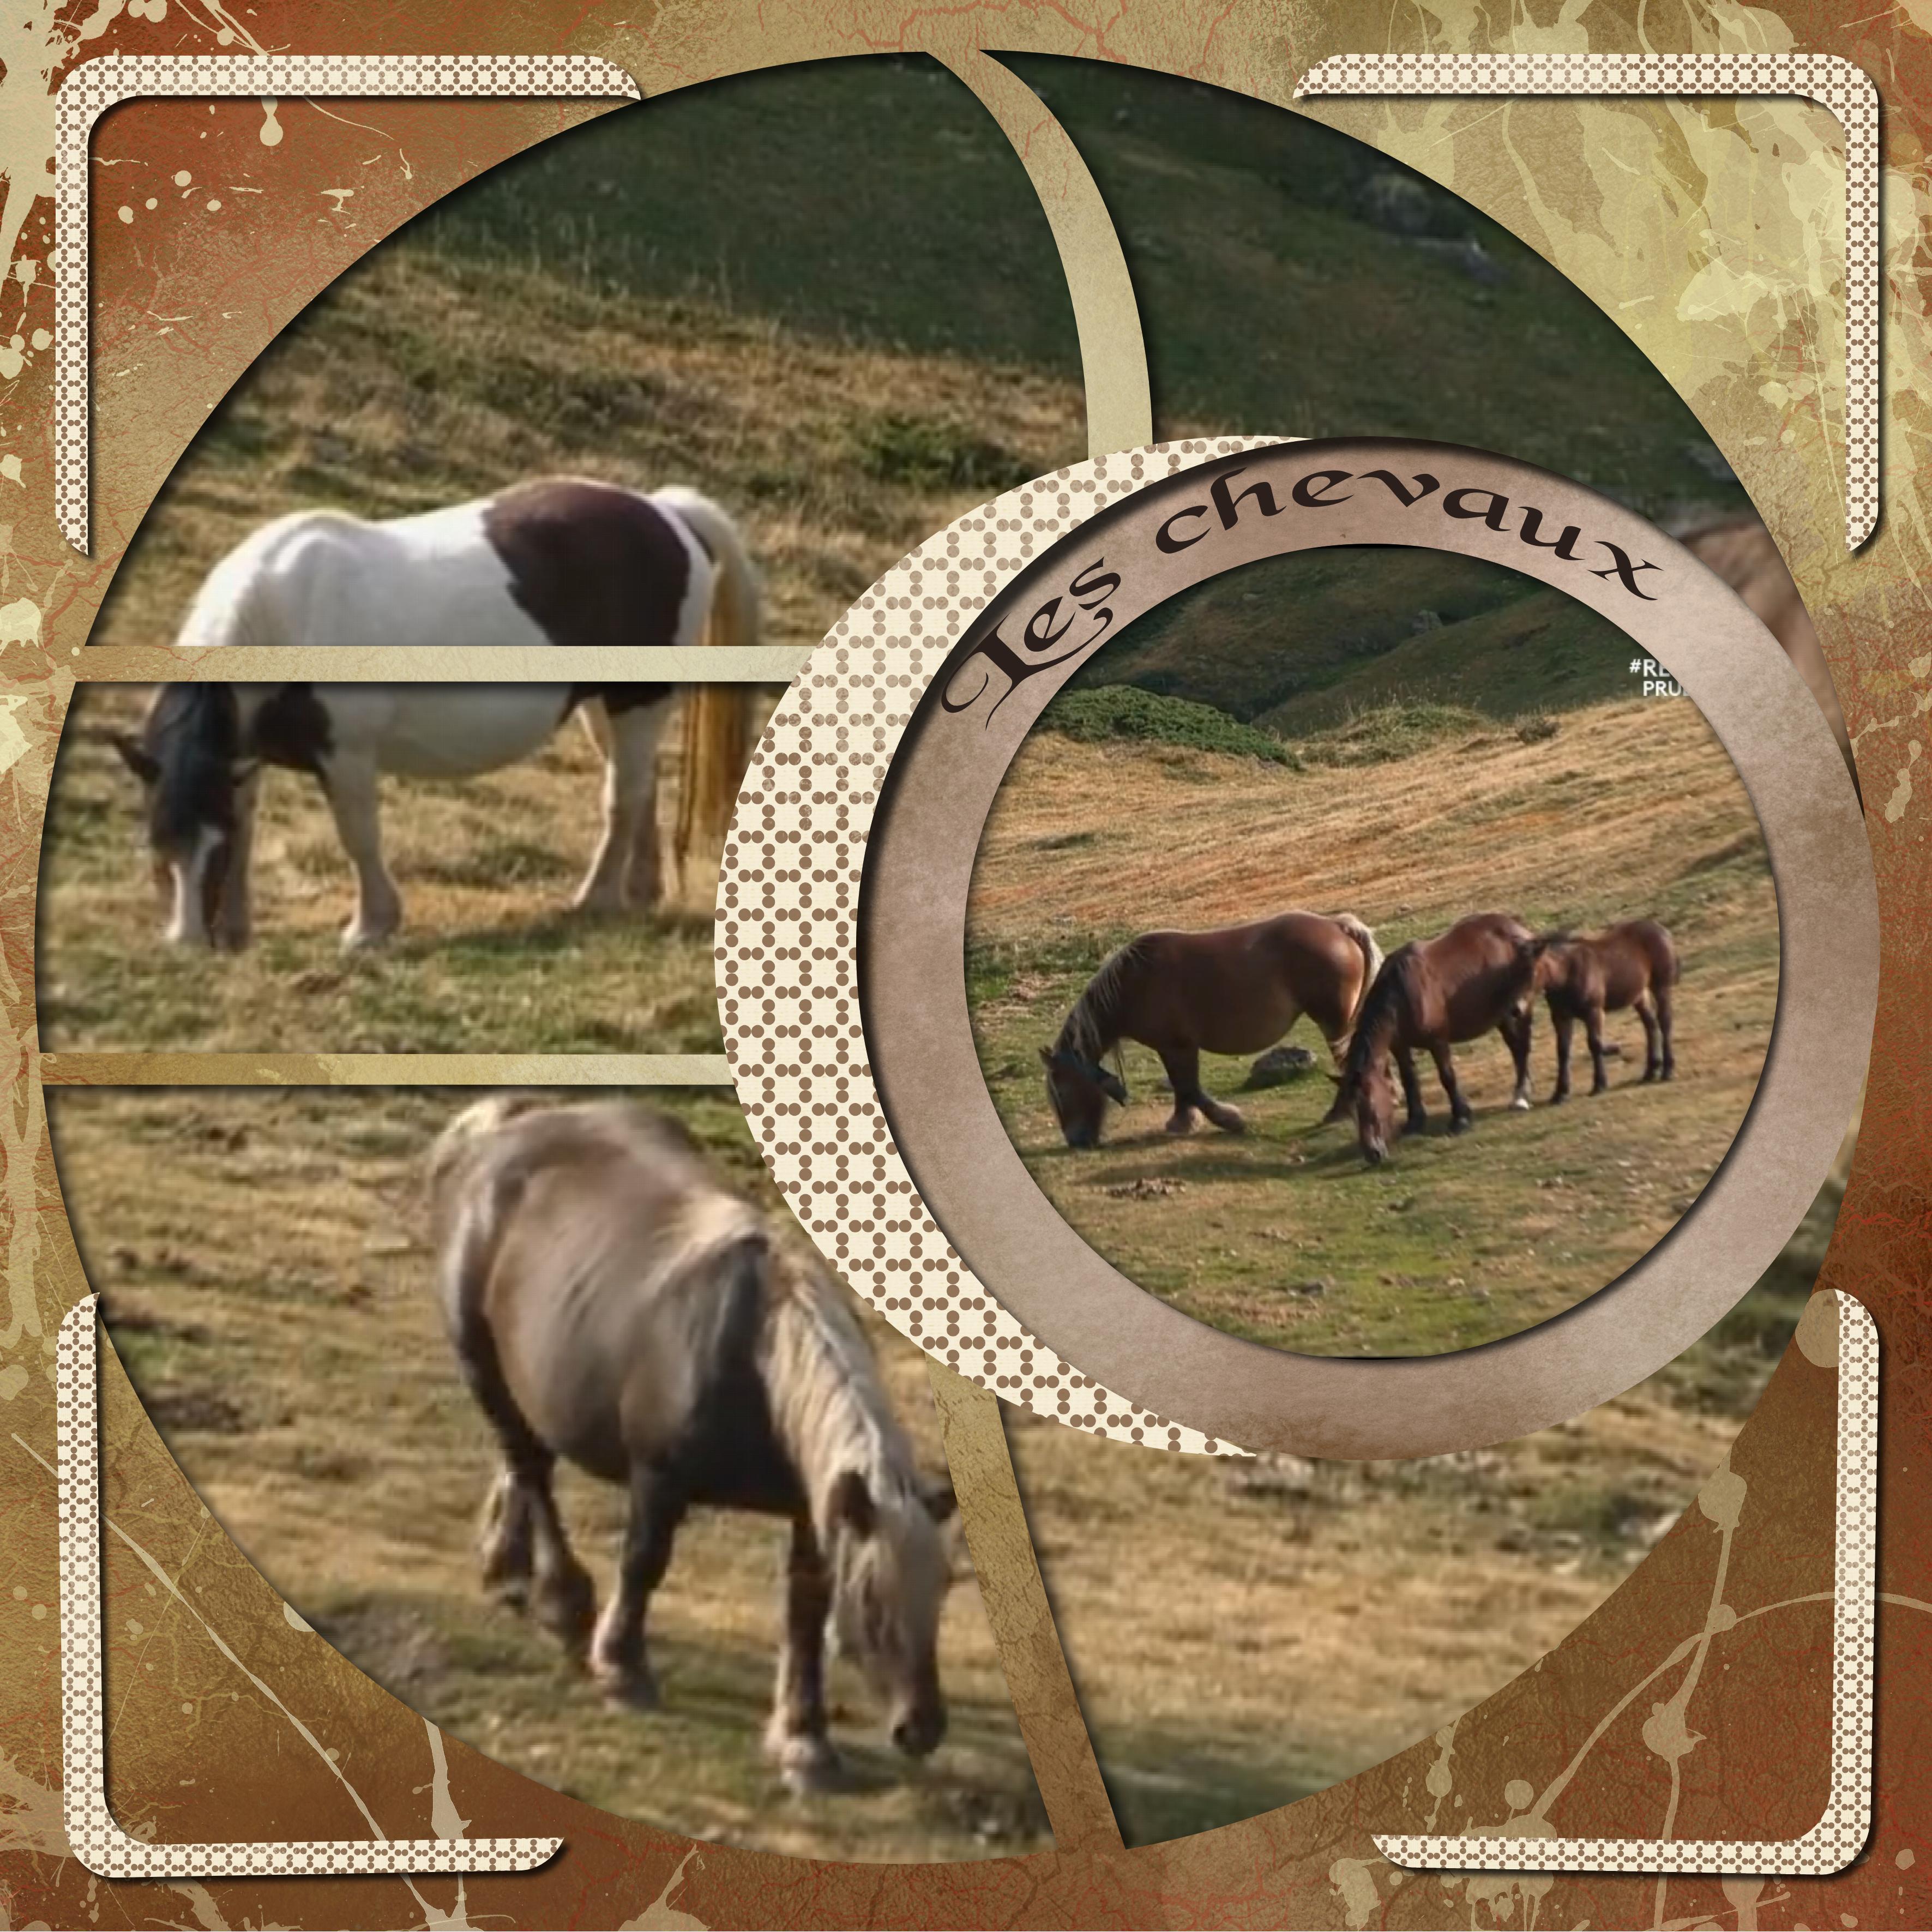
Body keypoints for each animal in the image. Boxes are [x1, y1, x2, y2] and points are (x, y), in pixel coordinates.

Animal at [108, 477, 757, 950]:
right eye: (157, 844)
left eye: (206, 852)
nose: (187, 942)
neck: (285, 613)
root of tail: (665, 512)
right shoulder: (243, 756)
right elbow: (247, 825)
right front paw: (238, 930)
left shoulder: (346, 755)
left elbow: (358, 838)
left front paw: (370, 927)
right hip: (604, 706)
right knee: (641, 784)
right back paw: (641, 891)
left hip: (637, 702)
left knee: (621, 798)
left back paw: (596, 898)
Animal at [427, 1095, 958, 1794]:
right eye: (872, 1596)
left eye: (945, 1587)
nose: (921, 1729)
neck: (755, 1357)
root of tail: (505, 1127)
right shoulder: (659, 1480)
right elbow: (642, 1564)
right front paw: (623, 1670)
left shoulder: (812, 1511)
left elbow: (804, 1611)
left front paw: (804, 1743)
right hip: (480, 1362)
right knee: (531, 1468)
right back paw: (560, 1600)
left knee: (522, 1462)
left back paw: (506, 1567)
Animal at [1040, 912, 1383, 1149]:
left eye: (1062, 1091)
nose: (1077, 1142)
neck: (1133, 985)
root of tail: (1337, 926)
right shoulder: (1173, 1047)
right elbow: (1183, 1088)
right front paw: (1184, 1122)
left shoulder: (1177, 1046)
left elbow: (1189, 1087)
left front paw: (1228, 1120)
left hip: (1333, 1023)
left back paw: (1340, 1113)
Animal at [1335, 911, 1539, 1166]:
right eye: (1351, 1113)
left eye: (1369, 1106)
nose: (1372, 1154)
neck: (1403, 994)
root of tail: (1520, 929)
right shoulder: (1400, 1046)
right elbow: (1410, 1080)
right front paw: (1415, 1121)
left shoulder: (1438, 1042)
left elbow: (1447, 1078)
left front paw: (1460, 1119)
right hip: (1502, 1016)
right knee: (1516, 1047)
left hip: (1521, 1007)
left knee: (1523, 1047)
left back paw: (1522, 1095)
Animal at [1532, 920, 1678, 1101]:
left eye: (1532, 971)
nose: (1516, 1007)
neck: (1568, 972)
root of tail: (1662, 930)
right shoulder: (1561, 1016)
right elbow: (1563, 1051)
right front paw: (1560, 1093)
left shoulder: (1594, 1012)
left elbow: (1595, 1044)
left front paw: (1599, 1085)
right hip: (1639, 994)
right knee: (1650, 1024)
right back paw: (1650, 1072)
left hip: (1661, 986)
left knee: (1665, 1021)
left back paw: (1668, 1071)